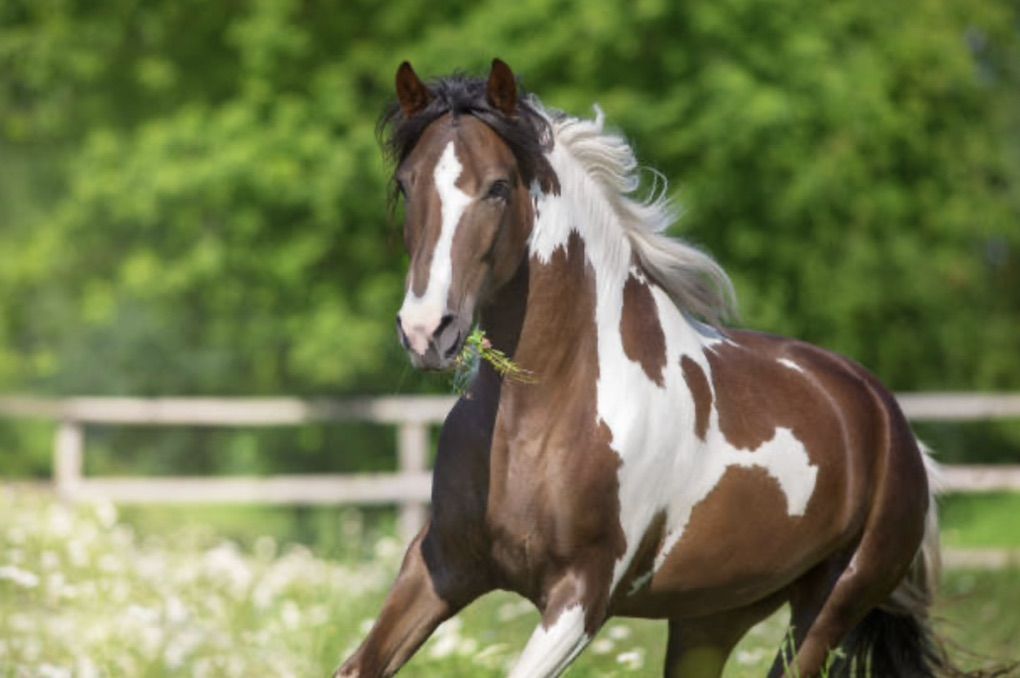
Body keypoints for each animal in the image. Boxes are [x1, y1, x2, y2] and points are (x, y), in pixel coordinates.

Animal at [337, 59, 946, 678]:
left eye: (499, 187)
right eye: (406, 183)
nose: (426, 331)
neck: (543, 413)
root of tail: (890, 421)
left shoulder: (582, 596)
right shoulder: (442, 564)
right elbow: (358, 665)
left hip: (828, 611)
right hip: (712, 616)